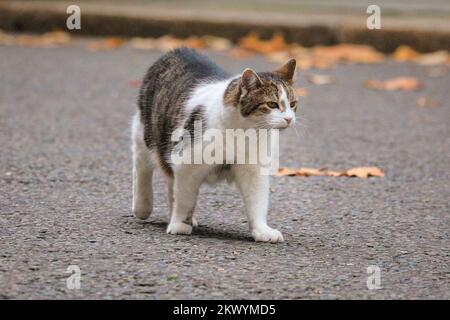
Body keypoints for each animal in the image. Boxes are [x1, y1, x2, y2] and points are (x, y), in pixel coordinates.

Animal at [132, 48, 298, 242]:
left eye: (293, 104)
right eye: (272, 104)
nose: (289, 119)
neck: (242, 133)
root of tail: (179, 50)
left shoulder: (254, 171)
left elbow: (257, 201)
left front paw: (262, 230)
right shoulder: (188, 163)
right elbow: (185, 200)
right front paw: (180, 223)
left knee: (171, 181)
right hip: (146, 133)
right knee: (142, 166)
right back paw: (142, 205)